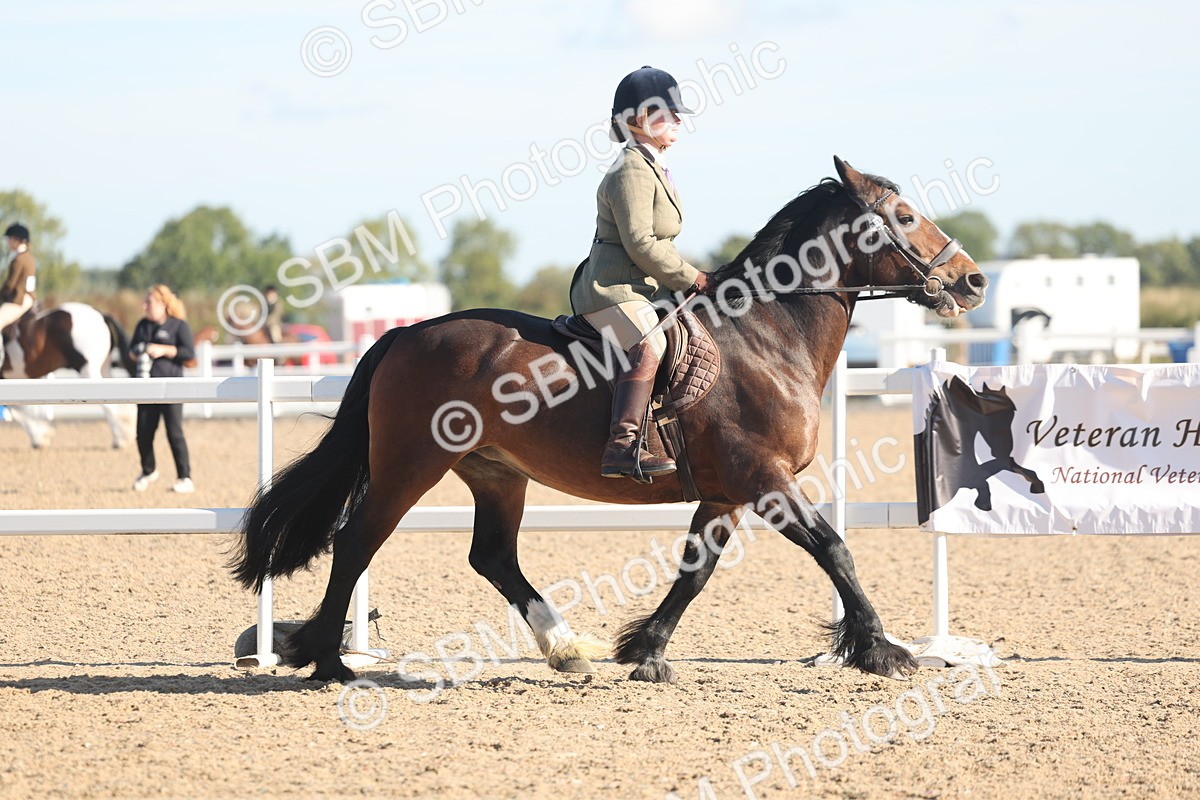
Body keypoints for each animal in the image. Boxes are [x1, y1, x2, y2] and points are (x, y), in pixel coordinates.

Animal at [0, 301, 137, 449]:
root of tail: (101, 315)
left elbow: (18, 413)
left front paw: (40, 437)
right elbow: (25, 410)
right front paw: (41, 435)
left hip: (88, 370)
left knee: (109, 406)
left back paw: (120, 440)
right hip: (104, 369)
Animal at [231, 157, 989, 684]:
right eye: (904, 214)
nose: (973, 281)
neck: (766, 337)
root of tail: (404, 333)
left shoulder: (725, 492)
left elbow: (695, 571)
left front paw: (645, 651)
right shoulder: (764, 479)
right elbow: (834, 549)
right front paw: (881, 650)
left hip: (496, 474)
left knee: (492, 556)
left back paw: (567, 649)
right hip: (410, 465)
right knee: (356, 541)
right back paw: (330, 662)